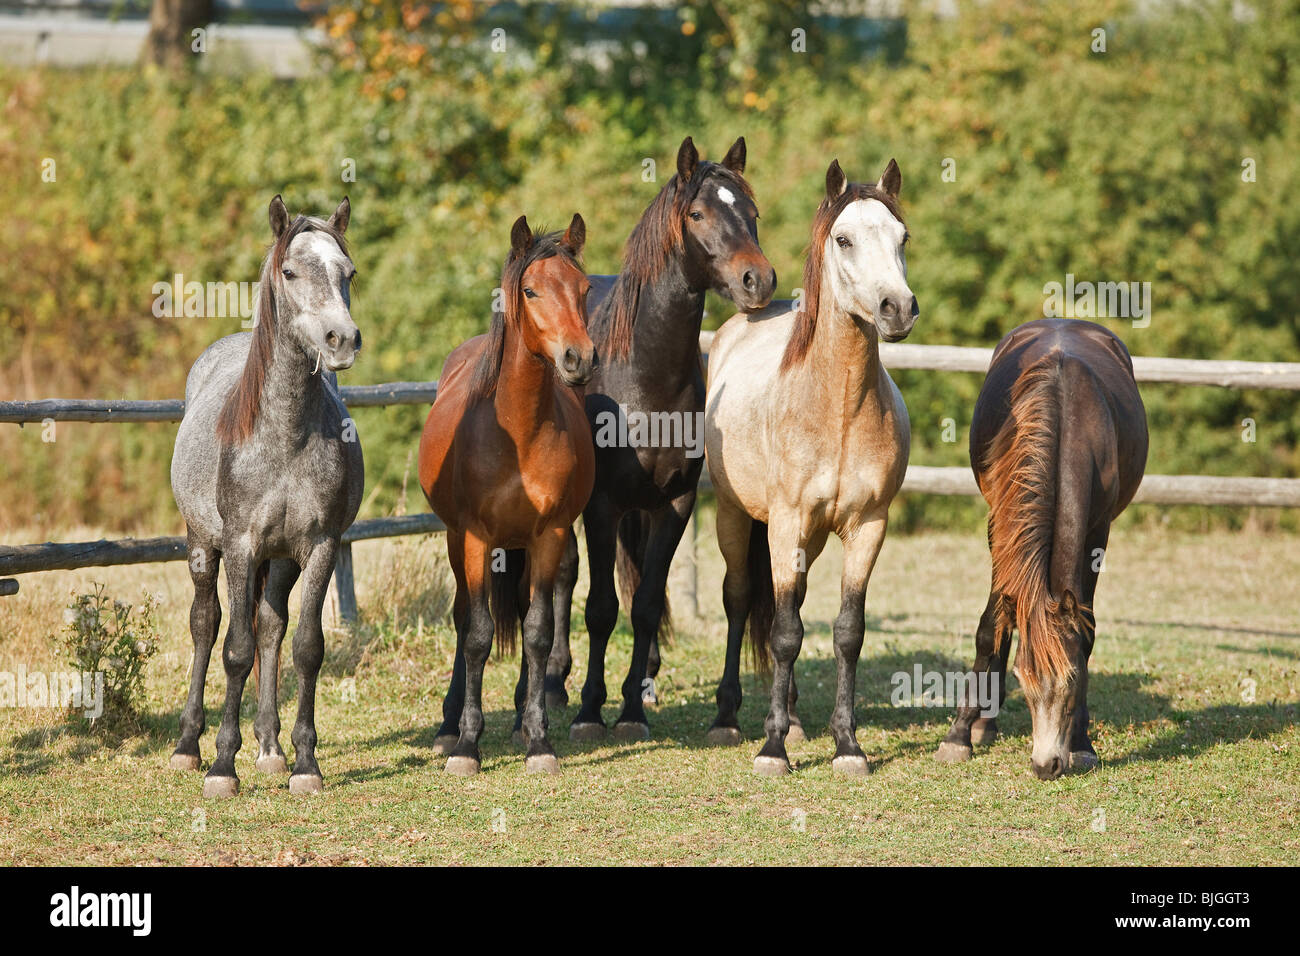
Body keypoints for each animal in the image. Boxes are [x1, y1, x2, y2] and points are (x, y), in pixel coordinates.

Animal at [167, 195, 364, 801]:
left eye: (349, 273)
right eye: (291, 272)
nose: (342, 339)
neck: (286, 434)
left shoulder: (320, 546)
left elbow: (305, 647)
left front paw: (304, 763)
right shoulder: (241, 544)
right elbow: (234, 649)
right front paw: (220, 767)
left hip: (281, 561)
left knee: (272, 627)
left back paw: (271, 748)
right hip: (203, 546)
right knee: (206, 624)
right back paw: (188, 746)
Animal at [418, 214, 595, 780]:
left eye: (585, 289)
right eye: (531, 290)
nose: (579, 358)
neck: (520, 430)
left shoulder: (549, 535)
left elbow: (538, 631)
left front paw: (538, 740)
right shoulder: (476, 537)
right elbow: (476, 634)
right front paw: (466, 746)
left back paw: (520, 719)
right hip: (459, 542)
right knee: (462, 619)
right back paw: (449, 725)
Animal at [546, 136, 774, 738]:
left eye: (752, 213)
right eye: (697, 214)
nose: (759, 280)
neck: (643, 377)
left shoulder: (675, 502)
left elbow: (646, 602)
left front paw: (629, 708)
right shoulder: (601, 505)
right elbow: (600, 607)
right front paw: (589, 710)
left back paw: (643, 678)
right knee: (564, 576)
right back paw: (554, 681)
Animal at [702, 158, 915, 780]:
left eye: (902, 238)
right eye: (843, 240)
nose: (898, 307)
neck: (836, 407)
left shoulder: (867, 527)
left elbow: (845, 632)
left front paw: (847, 745)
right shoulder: (787, 522)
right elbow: (783, 632)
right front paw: (772, 749)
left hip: (810, 538)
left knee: (786, 606)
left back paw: (794, 719)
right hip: (737, 518)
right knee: (744, 600)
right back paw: (732, 719)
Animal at [935, 317, 1149, 780]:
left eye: (1071, 682)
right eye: (1024, 682)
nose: (1046, 765)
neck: (1065, 421)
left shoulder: (1098, 532)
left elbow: (1086, 635)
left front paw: (1082, 743)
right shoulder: (1001, 523)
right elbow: (991, 627)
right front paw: (959, 735)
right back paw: (984, 724)